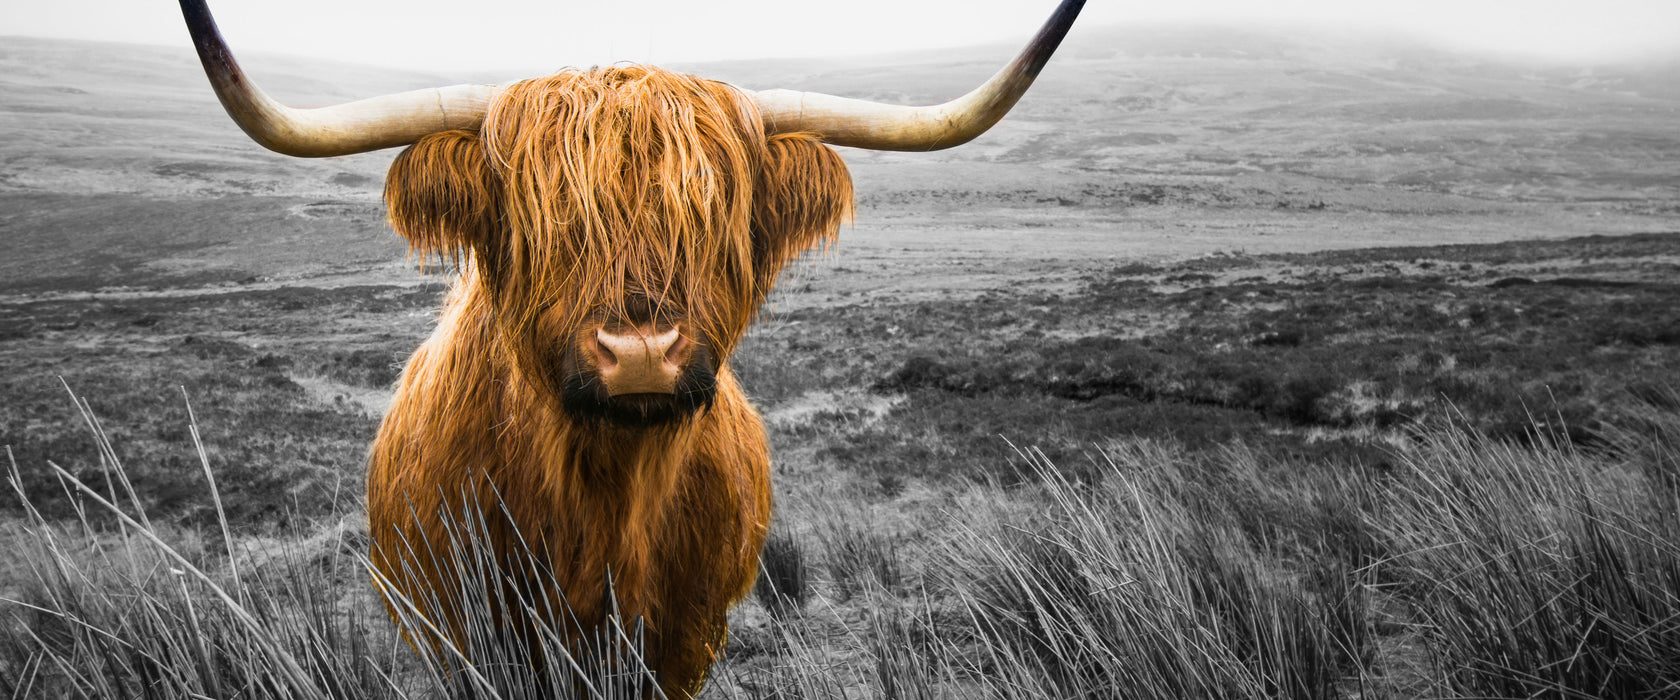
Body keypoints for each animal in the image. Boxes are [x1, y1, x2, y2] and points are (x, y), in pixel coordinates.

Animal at [177, 0, 1081, 691]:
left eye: (711, 215)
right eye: (543, 221)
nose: (641, 351)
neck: (602, 501)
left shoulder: (685, 637)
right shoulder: (476, 634)